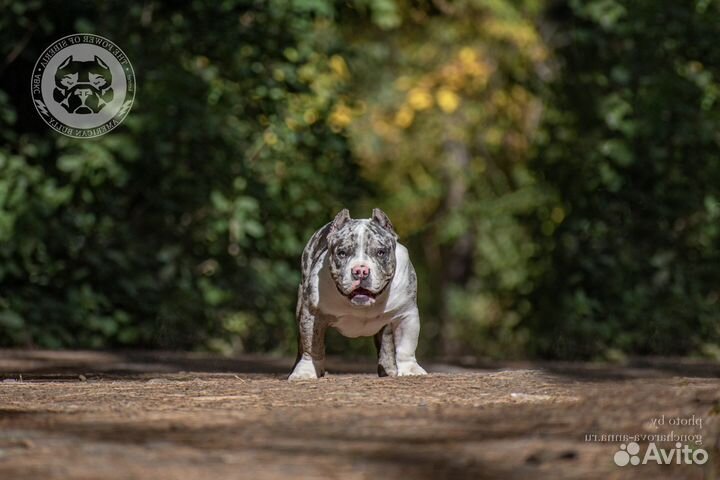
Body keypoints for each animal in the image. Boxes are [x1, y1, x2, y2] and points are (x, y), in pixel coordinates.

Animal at [288, 208, 428, 380]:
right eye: (342, 253)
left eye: (381, 252)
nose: (360, 270)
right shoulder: (312, 314)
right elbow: (312, 346)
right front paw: (306, 371)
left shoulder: (406, 314)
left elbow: (406, 346)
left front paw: (410, 369)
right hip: (300, 305)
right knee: (301, 343)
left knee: (386, 342)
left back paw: (388, 369)